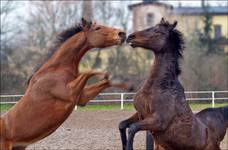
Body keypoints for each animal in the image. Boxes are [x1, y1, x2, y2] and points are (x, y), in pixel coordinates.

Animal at [0, 17, 128, 150]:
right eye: (98, 28)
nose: (122, 34)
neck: (56, 69)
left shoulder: (81, 98)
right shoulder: (69, 93)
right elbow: (89, 71)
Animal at [119, 17, 228, 150]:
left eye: (157, 31)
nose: (130, 37)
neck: (160, 87)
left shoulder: (158, 121)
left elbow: (133, 128)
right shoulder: (140, 114)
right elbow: (122, 125)